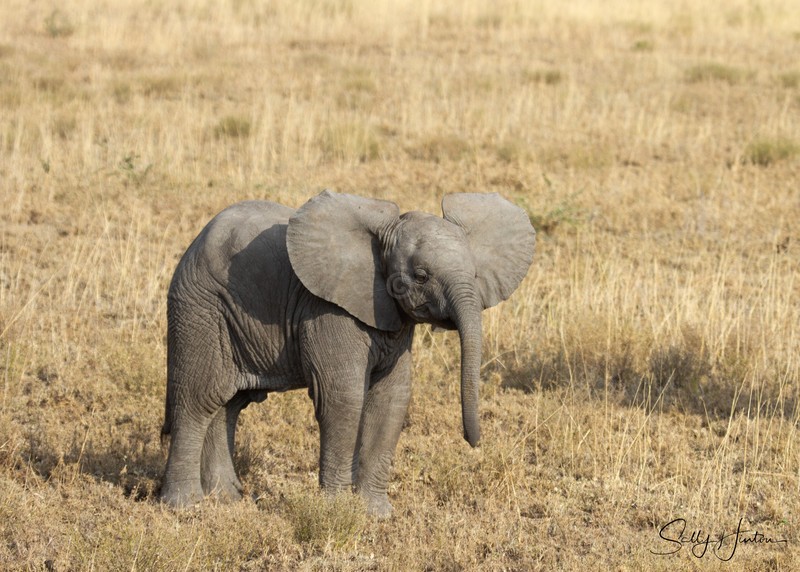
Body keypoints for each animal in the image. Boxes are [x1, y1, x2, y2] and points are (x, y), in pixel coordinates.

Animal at [160, 190, 536, 516]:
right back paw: (185, 506)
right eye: (421, 276)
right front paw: (336, 510)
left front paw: (376, 514)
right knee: (199, 398)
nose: (472, 442)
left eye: (475, 273)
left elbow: (391, 398)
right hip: (200, 308)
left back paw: (226, 499)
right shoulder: (326, 309)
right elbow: (343, 397)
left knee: (227, 404)